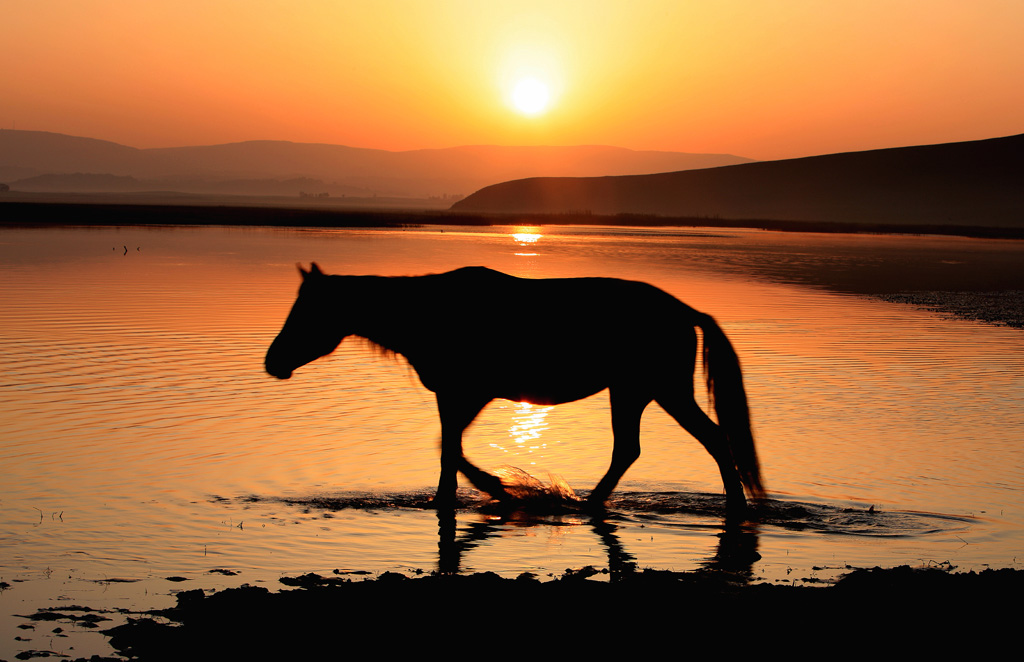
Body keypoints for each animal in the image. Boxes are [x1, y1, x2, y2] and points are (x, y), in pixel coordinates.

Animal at [268, 264, 765, 518]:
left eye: (307, 309)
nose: (272, 362)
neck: (429, 312)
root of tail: (685, 310)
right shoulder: (457, 396)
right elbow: (448, 449)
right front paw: (466, 495)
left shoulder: (466, 392)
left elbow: (449, 450)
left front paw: (499, 487)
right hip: (636, 391)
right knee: (634, 448)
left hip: (658, 389)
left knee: (706, 439)